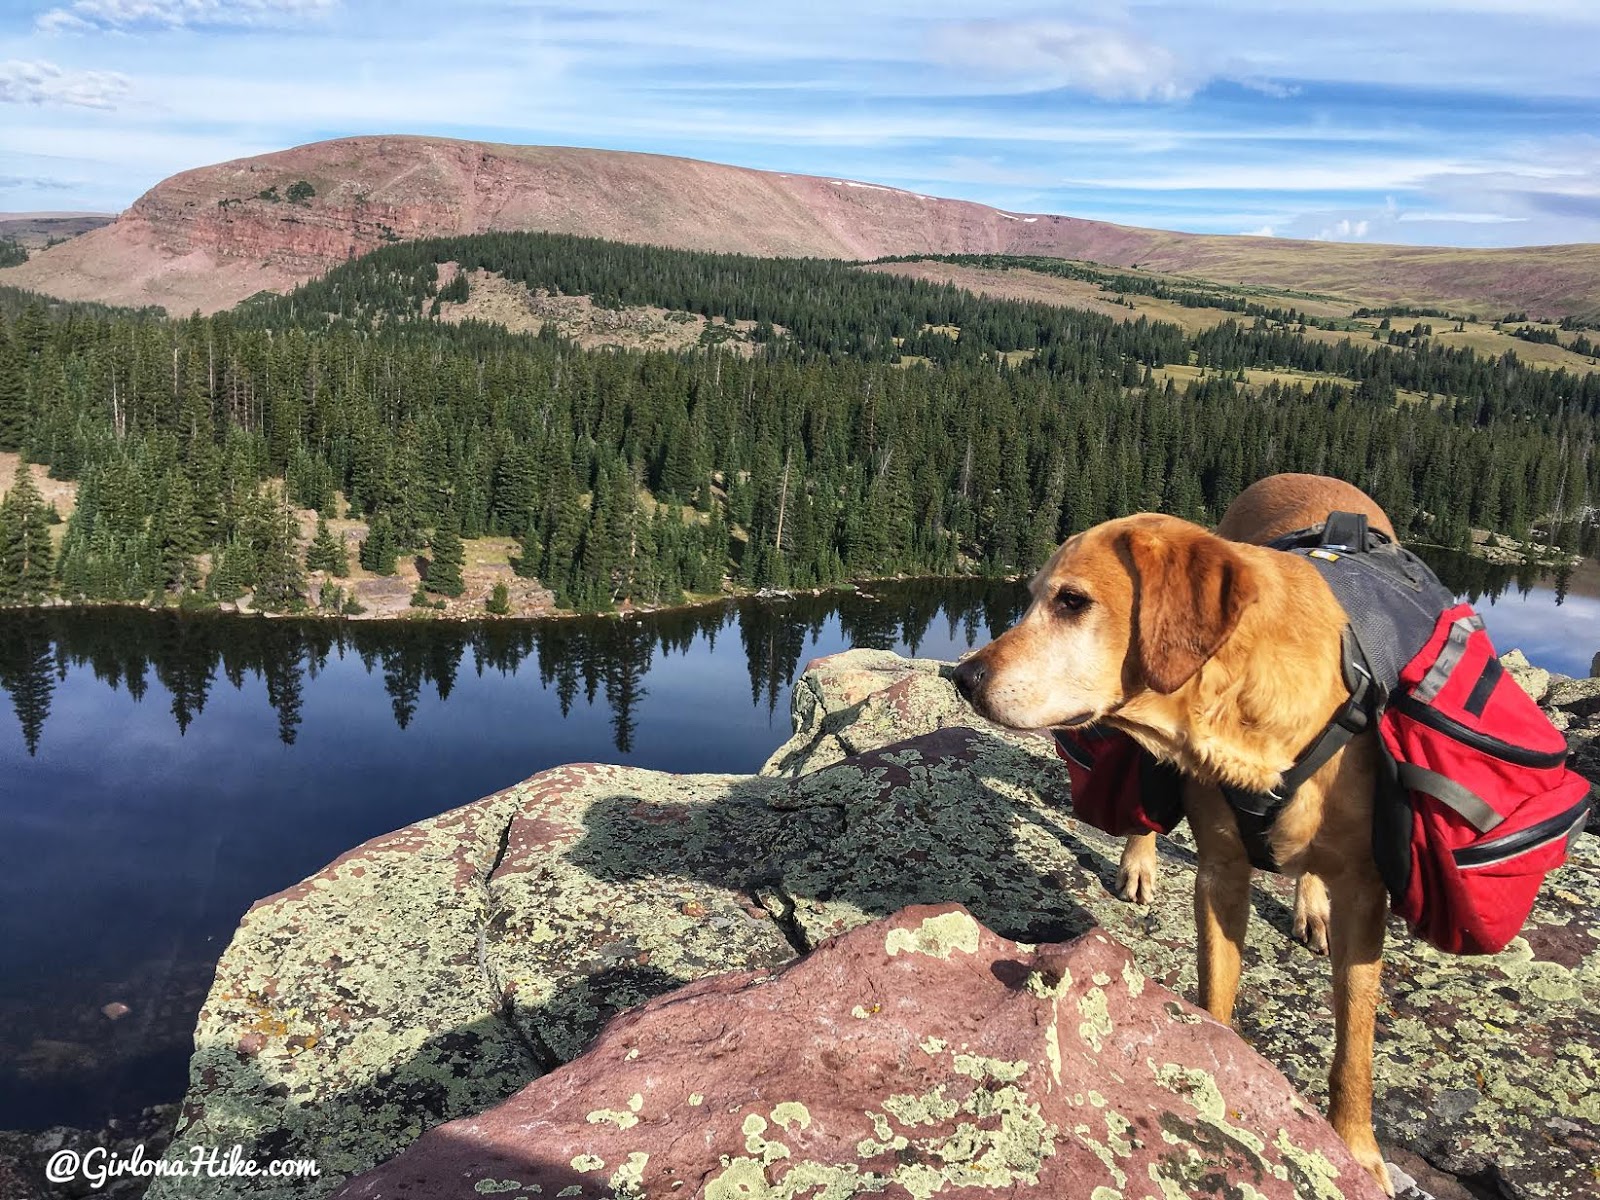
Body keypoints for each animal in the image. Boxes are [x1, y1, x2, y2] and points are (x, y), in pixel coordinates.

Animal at [953, 473, 1395, 1196]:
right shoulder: (1220, 872)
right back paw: (1138, 862)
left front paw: (1356, 1147)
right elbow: (1215, 992)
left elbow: (1355, 1038)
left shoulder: (1366, 895)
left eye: (1072, 601)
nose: (962, 677)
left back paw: (1309, 904)